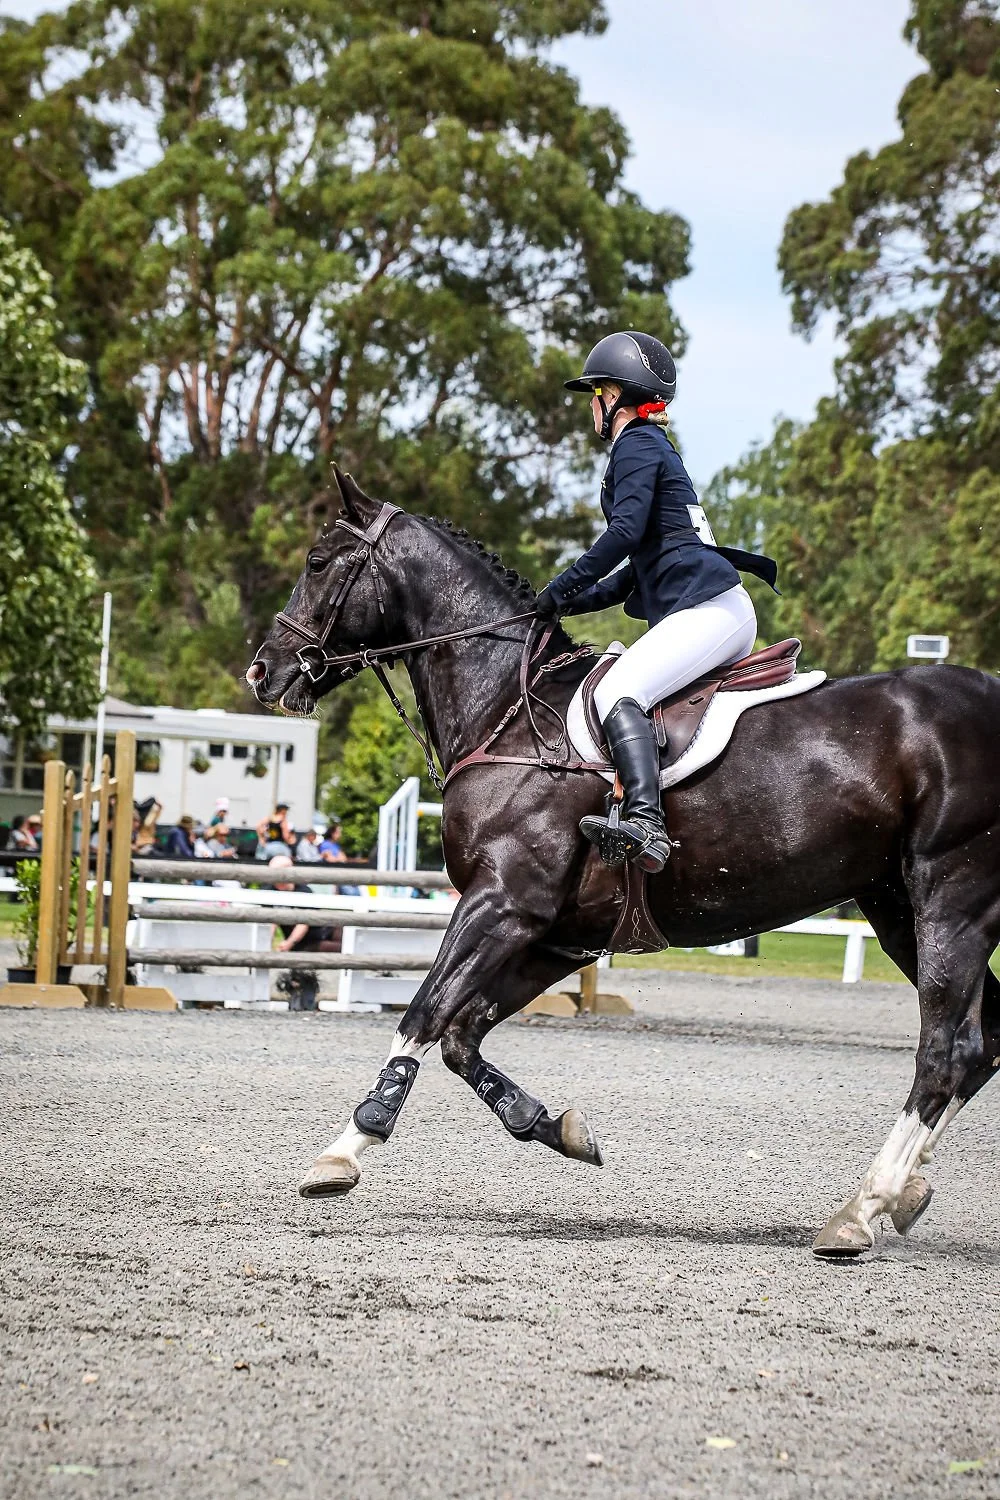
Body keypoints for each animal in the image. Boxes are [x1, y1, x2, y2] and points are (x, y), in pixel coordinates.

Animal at [247, 466, 1000, 1258]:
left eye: (317, 563)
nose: (263, 672)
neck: (506, 708)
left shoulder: (502, 902)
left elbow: (423, 1013)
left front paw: (345, 1149)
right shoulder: (554, 933)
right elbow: (461, 1033)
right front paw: (558, 1129)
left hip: (950, 898)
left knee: (947, 1049)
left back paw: (862, 1208)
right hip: (896, 909)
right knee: (983, 1044)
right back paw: (905, 1193)